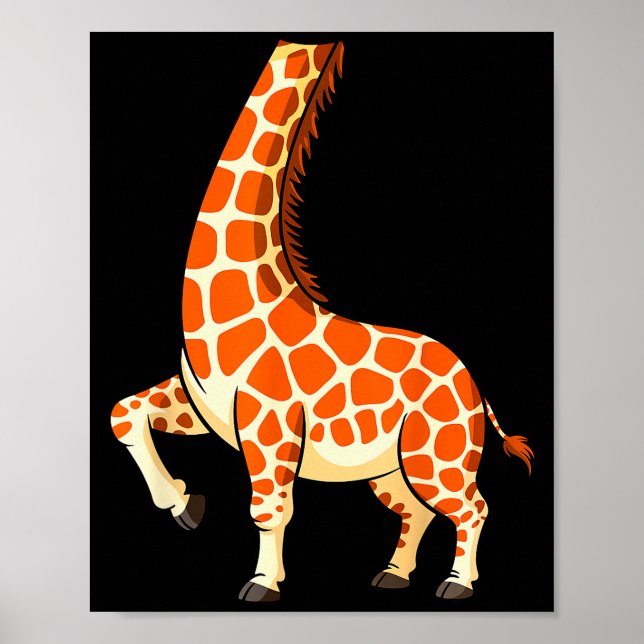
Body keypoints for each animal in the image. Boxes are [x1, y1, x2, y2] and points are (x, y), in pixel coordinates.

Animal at [110, 39, 534, 603]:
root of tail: (474, 386)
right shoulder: (202, 404)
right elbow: (123, 412)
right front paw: (186, 505)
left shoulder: (269, 419)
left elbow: (268, 507)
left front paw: (262, 584)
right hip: (388, 467)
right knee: (416, 511)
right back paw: (392, 575)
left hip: (438, 452)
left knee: (472, 506)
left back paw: (456, 584)